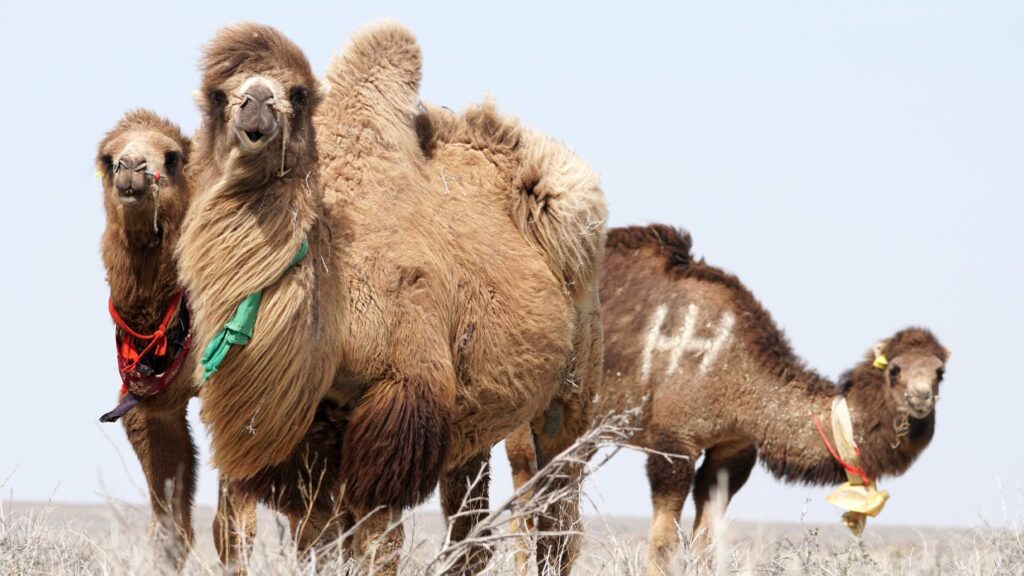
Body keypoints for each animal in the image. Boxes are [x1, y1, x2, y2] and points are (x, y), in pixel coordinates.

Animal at [177, 22, 605, 575]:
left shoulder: (401, 398)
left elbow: (378, 540)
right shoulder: (313, 430)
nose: (256, 107)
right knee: (471, 519)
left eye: (297, 93)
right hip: (474, 408)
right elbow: (320, 539)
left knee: (558, 508)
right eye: (217, 94)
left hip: (570, 393)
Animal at [507, 224, 950, 575]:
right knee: (526, 497)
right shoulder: (674, 442)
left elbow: (705, 544)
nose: (921, 398)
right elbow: (664, 544)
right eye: (895, 370)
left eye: (940, 372)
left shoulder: (733, 450)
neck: (736, 369)